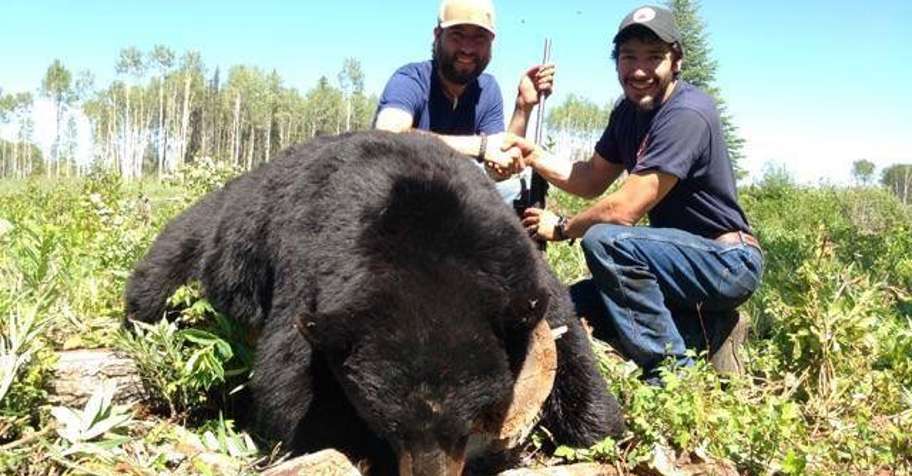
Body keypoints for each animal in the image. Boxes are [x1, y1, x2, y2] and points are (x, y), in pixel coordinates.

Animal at [125, 130, 625, 475]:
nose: (428, 474)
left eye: (467, 425)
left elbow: (568, 336)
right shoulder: (311, 277)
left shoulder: (515, 267)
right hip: (198, 245)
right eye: (390, 426)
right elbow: (294, 395)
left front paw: (600, 433)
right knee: (155, 284)